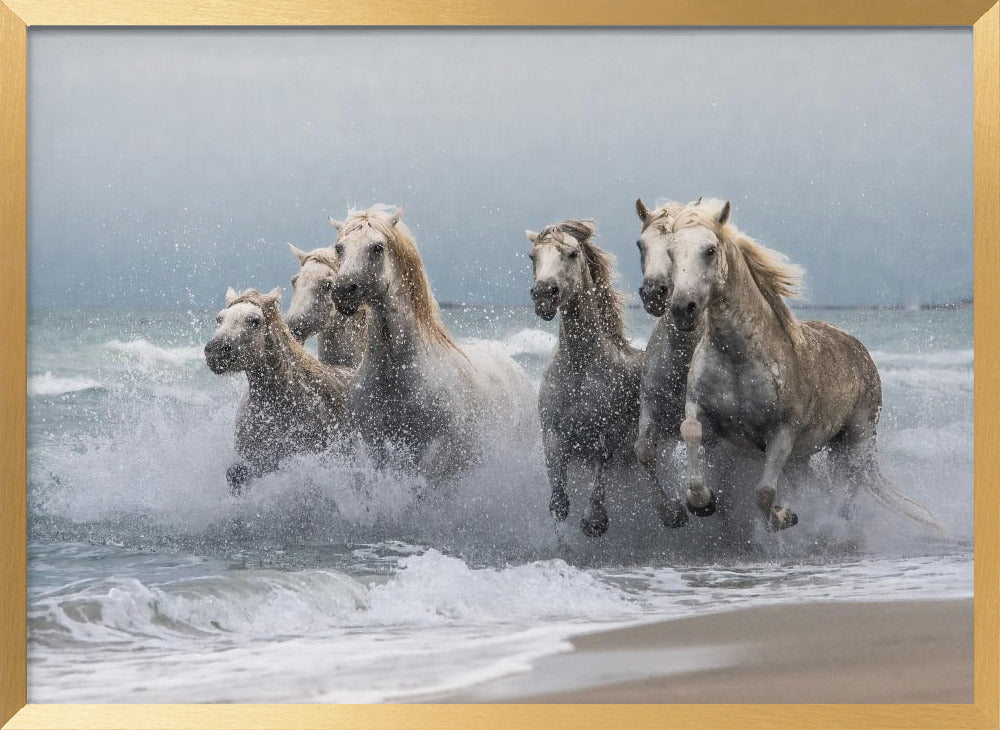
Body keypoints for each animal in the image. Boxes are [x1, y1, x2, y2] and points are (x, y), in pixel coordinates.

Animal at [328, 204, 535, 483]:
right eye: (339, 248)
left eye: (377, 247)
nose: (342, 292)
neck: (396, 374)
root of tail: (516, 369)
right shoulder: (376, 448)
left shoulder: (436, 452)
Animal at [527, 219, 645, 537]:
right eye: (532, 257)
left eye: (571, 254)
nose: (544, 294)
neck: (580, 367)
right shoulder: (553, 434)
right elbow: (559, 502)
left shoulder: (607, 434)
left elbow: (601, 469)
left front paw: (594, 521)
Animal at [652, 198, 939, 532]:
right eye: (671, 252)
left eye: (710, 250)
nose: (683, 309)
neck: (738, 356)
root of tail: (860, 349)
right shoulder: (701, 410)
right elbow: (691, 431)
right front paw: (702, 501)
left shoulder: (782, 434)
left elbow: (764, 493)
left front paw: (783, 517)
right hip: (805, 457)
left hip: (855, 439)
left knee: (850, 484)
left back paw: (839, 521)